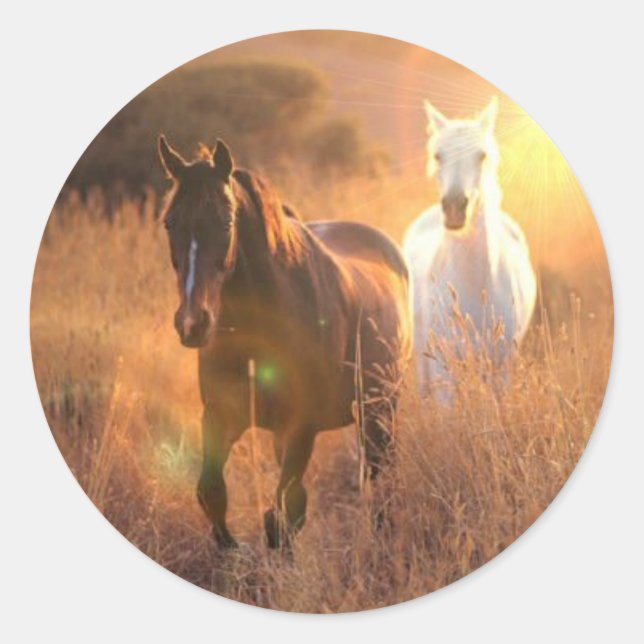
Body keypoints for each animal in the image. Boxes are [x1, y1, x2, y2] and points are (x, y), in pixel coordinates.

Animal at [158, 136, 412, 549]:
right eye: (169, 222)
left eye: (226, 222)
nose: (193, 323)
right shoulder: (219, 416)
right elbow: (212, 494)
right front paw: (232, 552)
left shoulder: (300, 426)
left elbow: (280, 517)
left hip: (379, 408)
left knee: (380, 474)